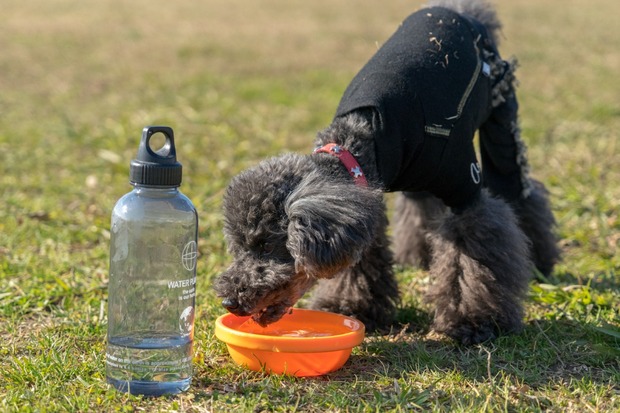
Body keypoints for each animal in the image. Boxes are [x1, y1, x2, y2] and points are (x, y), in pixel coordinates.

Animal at [216, 0, 560, 342]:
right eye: (239, 248)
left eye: (266, 245)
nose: (229, 301)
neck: (359, 138)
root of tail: (462, 10)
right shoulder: (363, 203)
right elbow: (362, 260)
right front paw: (350, 306)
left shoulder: (464, 189)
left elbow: (472, 254)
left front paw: (475, 320)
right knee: (420, 204)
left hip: (500, 117)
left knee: (519, 189)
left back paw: (539, 260)